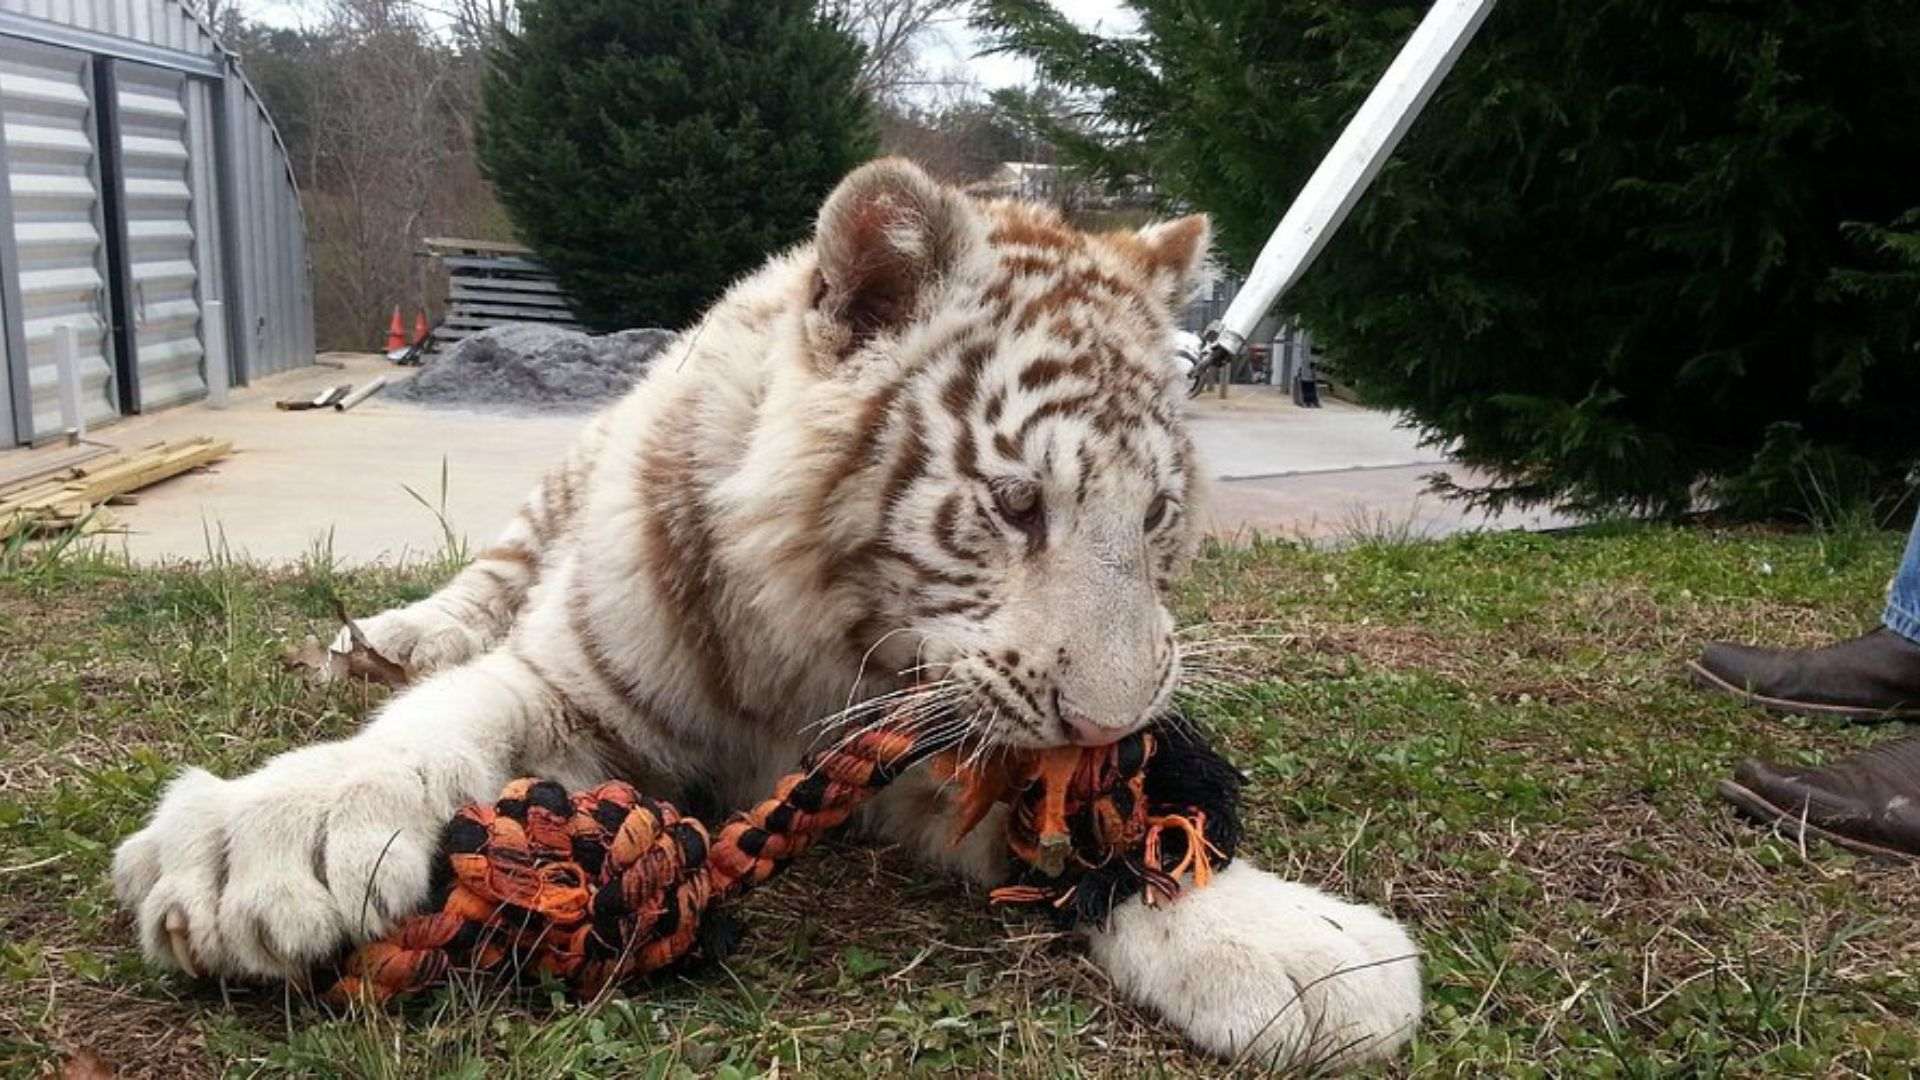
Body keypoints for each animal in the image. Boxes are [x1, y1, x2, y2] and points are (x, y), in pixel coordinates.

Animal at [111, 159, 1420, 1068]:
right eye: (1014, 504)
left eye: (1155, 516)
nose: (1113, 723)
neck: (819, 643)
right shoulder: (571, 680)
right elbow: (446, 718)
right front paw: (276, 833)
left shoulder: (929, 736)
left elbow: (1086, 838)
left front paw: (1296, 953)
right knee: (482, 584)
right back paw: (387, 639)